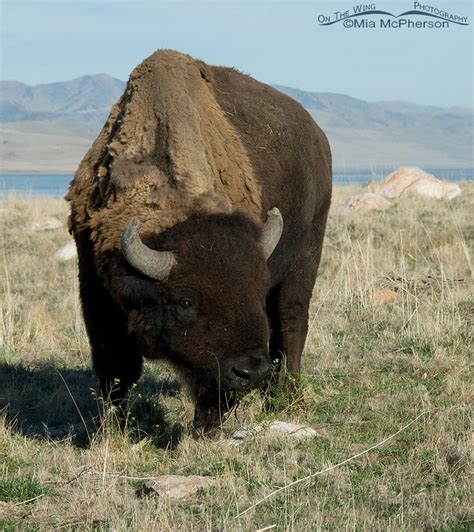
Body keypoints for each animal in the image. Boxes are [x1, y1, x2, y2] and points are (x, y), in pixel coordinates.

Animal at [66, 50, 332, 432]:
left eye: (254, 287)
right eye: (186, 301)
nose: (251, 372)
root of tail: (317, 137)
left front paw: (205, 429)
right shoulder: (96, 287)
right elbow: (115, 369)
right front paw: (111, 429)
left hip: (309, 249)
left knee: (291, 322)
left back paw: (285, 398)